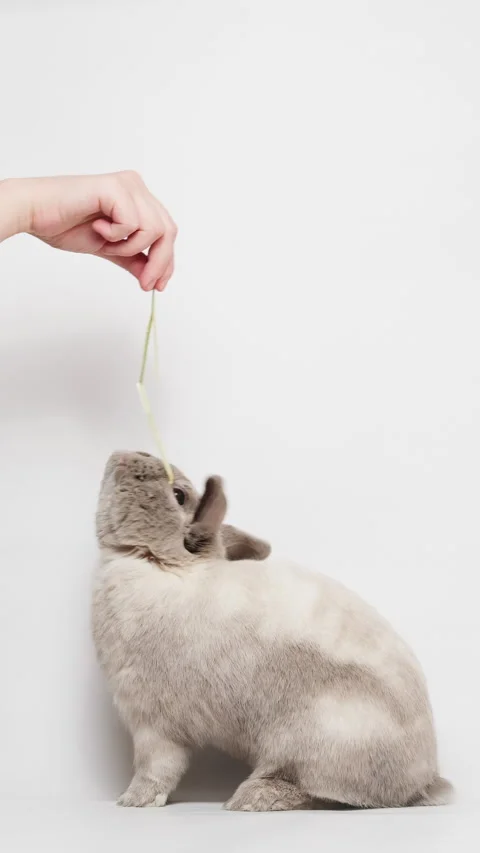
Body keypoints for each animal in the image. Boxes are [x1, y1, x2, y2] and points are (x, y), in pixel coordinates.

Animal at [92, 450, 452, 811]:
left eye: (178, 495)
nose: (125, 455)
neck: (165, 567)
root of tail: (421, 782)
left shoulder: (153, 722)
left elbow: (156, 767)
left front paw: (132, 800)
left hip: (312, 742)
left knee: (310, 787)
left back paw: (251, 798)